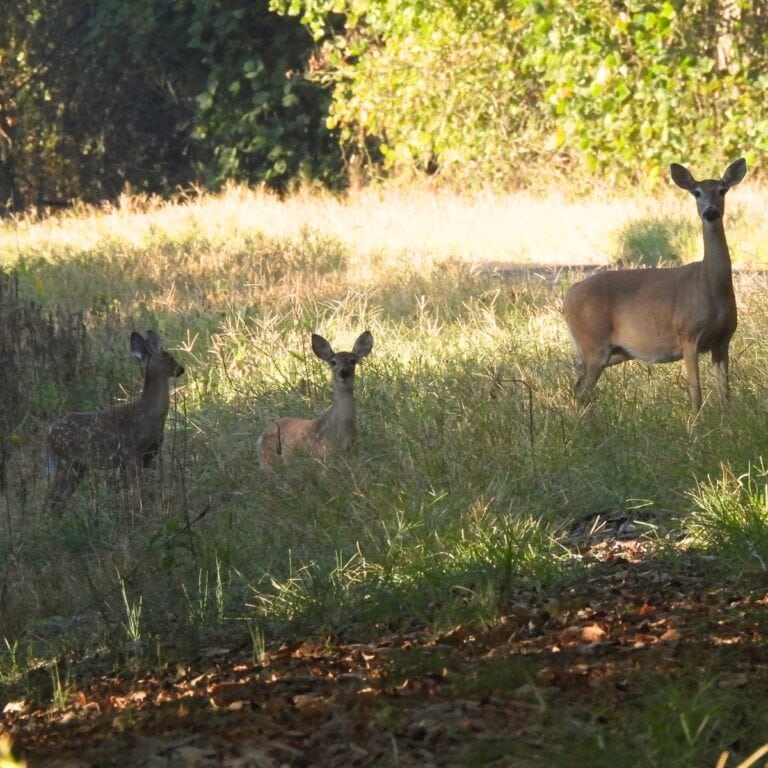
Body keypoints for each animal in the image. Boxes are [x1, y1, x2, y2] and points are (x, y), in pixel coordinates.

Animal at [46, 330, 185, 513]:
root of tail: (47, 434)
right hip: (67, 461)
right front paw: (140, 511)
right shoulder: (132, 453)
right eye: (170, 357)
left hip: (77, 465)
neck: (149, 414)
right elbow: (137, 491)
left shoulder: (149, 456)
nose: (181, 369)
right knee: (53, 499)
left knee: (57, 500)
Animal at [563, 157, 746, 416]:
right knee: (580, 389)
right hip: (593, 343)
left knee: (578, 387)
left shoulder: (723, 340)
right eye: (696, 192)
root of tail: (568, 294)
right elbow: (696, 391)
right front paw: (696, 425)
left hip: (614, 351)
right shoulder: (688, 334)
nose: (710, 212)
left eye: (722, 190)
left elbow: (725, 393)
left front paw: (727, 424)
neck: (709, 286)